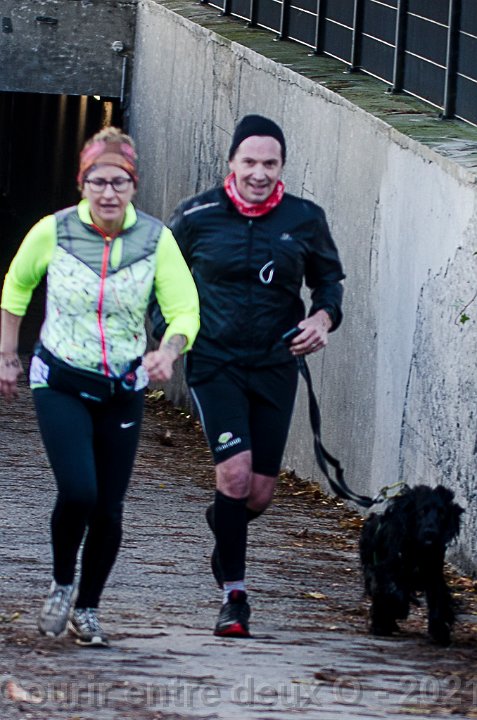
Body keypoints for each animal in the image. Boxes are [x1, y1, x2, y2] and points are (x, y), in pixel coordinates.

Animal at [359, 484, 463, 646]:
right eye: (421, 511)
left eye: (442, 514)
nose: (430, 532)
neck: (418, 549)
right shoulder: (385, 571)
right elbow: (393, 593)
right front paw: (395, 612)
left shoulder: (433, 575)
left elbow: (438, 601)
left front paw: (439, 631)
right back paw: (383, 625)